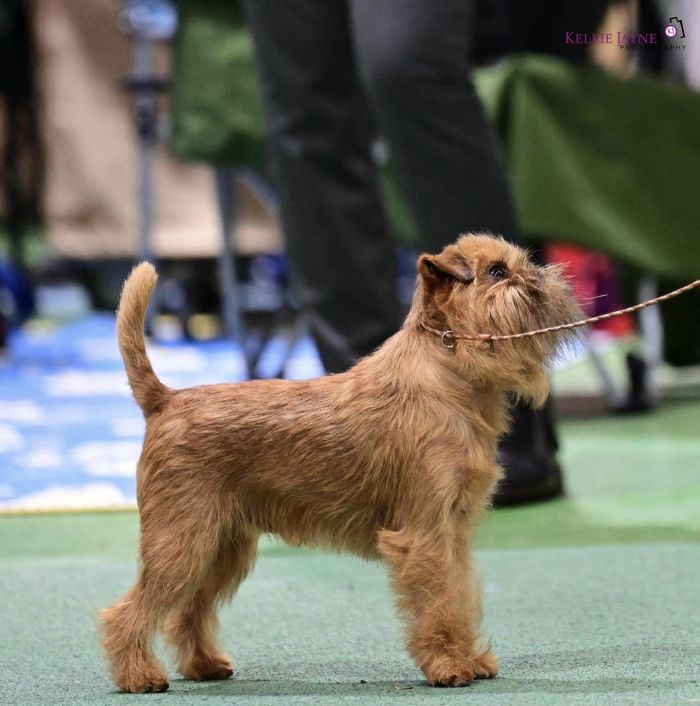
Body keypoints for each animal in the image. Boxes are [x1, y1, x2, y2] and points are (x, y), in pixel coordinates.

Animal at [100, 233, 579, 693]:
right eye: (497, 271)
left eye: (524, 262)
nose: (542, 277)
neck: (448, 371)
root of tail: (166, 400)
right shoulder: (424, 533)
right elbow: (438, 601)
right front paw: (448, 666)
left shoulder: (454, 531)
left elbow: (459, 596)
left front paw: (471, 660)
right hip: (182, 540)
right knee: (129, 609)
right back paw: (139, 677)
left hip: (222, 546)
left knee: (189, 609)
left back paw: (203, 666)